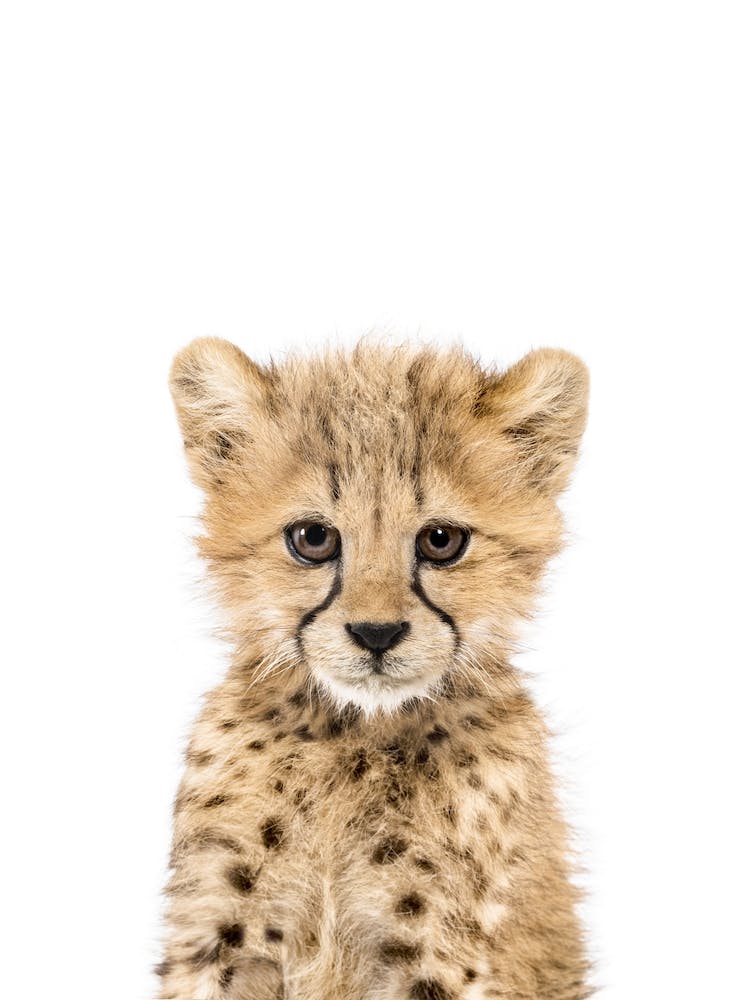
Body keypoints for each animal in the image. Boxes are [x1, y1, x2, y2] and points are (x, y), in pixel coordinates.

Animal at [156, 336, 592, 1000]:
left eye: (441, 540)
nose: (376, 634)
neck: (352, 735)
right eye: (312, 537)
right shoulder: (219, 933)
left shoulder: (436, 950)